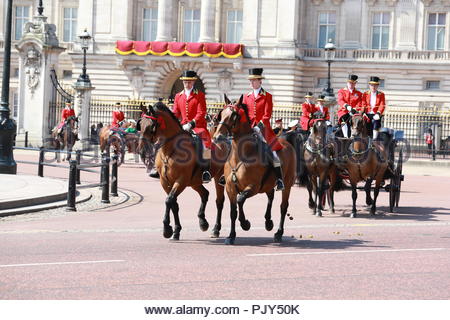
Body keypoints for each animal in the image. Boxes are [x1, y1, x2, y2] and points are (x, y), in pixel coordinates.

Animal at [140, 101, 230, 239]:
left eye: (151, 126)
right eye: (140, 125)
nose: (142, 151)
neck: (170, 151)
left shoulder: (181, 180)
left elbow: (169, 200)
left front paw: (167, 229)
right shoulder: (165, 182)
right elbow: (174, 204)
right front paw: (176, 230)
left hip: (217, 178)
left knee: (219, 201)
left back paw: (216, 229)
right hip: (194, 182)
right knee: (205, 194)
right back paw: (203, 222)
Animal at [213, 96, 298, 244]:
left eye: (234, 115)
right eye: (221, 114)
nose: (217, 137)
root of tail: (286, 142)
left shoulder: (253, 187)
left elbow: (240, 199)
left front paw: (245, 223)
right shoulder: (230, 188)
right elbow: (233, 212)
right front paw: (231, 236)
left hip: (287, 185)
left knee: (283, 206)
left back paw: (279, 233)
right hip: (268, 184)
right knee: (270, 196)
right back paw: (268, 222)